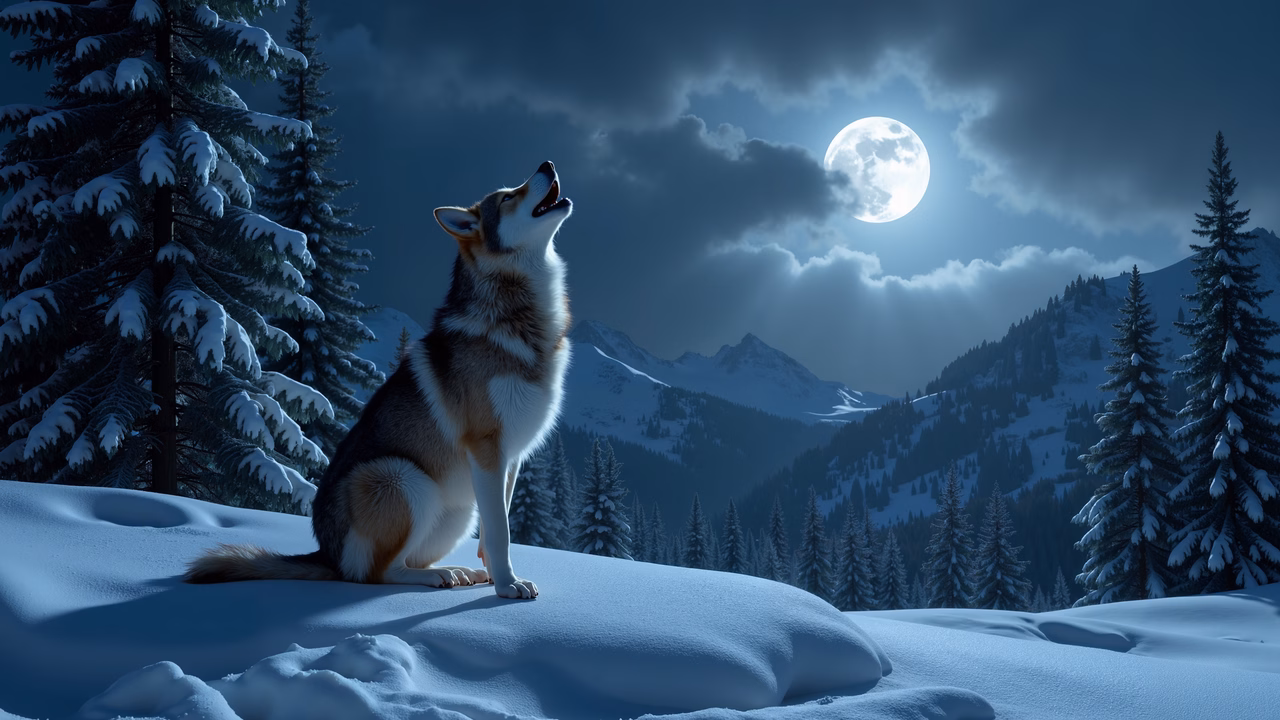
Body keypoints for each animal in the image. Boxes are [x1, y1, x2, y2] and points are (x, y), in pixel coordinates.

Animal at [185, 161, 573, 600]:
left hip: (457, 510)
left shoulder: (510, 460)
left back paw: (457, 572)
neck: (521, 320)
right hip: (404, 478)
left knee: (407, 560)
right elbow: (501, 534)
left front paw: (498, 579)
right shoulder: (487, 447)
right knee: (376, 573)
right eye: (509, 196)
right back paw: (436, 576)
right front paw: (507, 588)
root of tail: (328, 555)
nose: (548, 164)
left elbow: (495, 533)